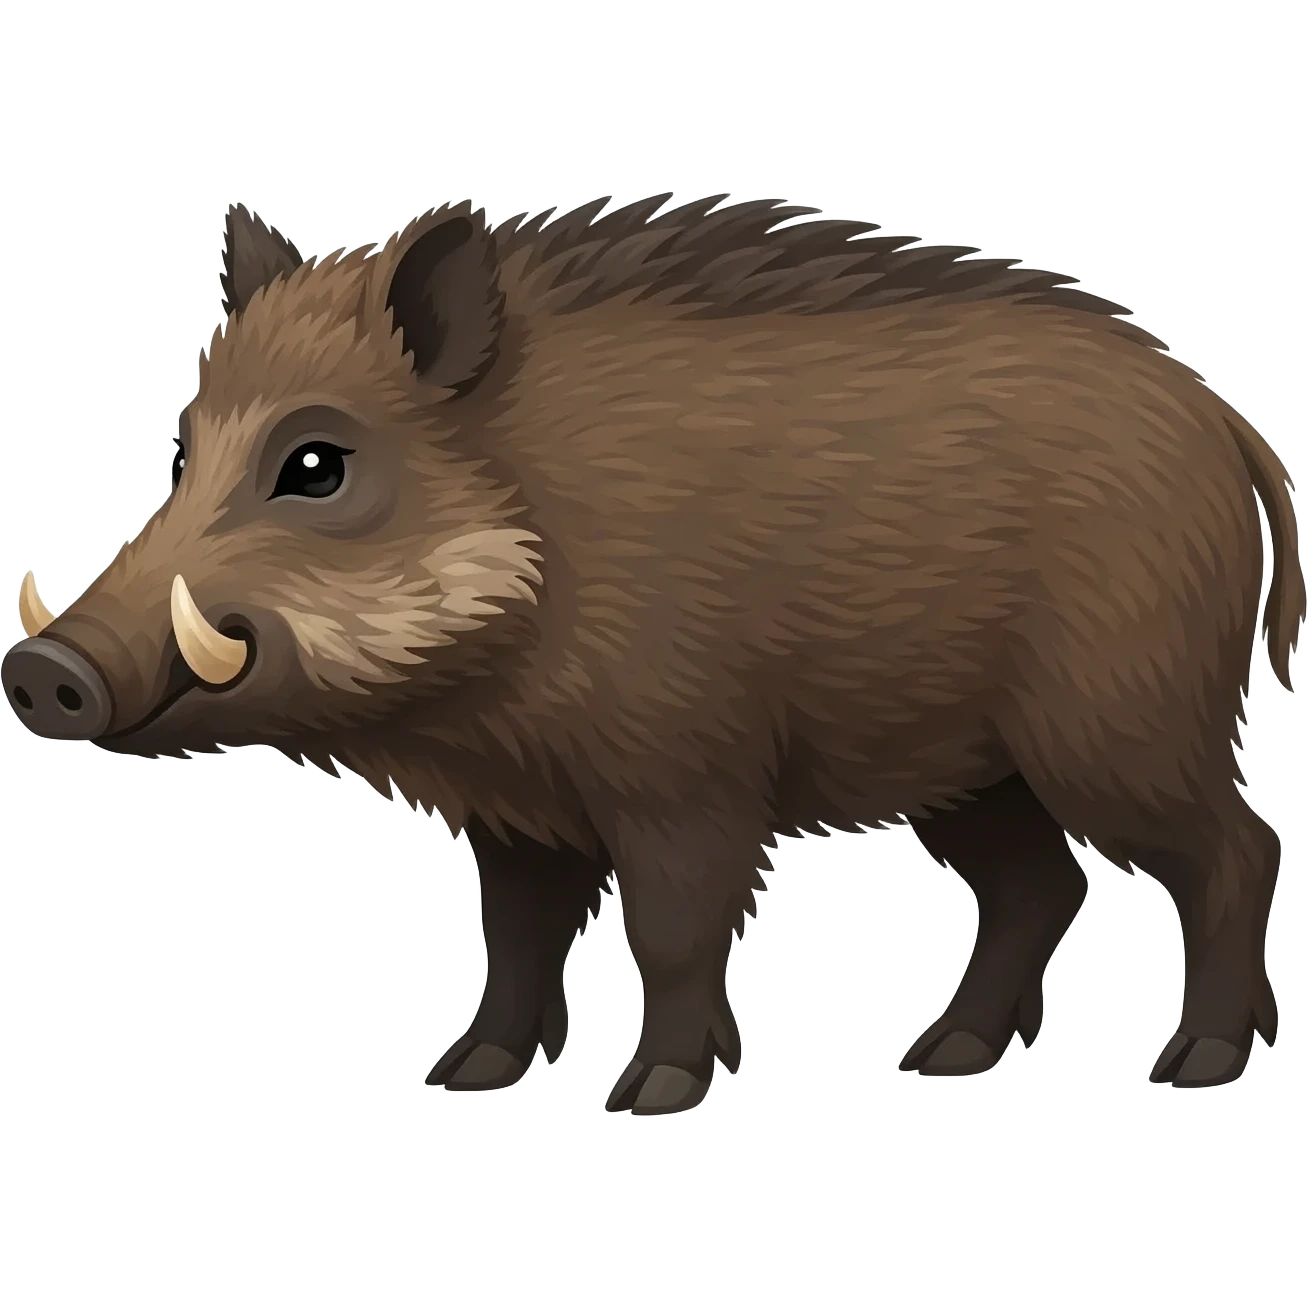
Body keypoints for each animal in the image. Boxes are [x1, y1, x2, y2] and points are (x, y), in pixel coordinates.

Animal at [3, 195, 1301, 1113]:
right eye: (185, 449)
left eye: (315, 463)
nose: (47, 674)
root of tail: (1228, 423)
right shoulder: (520, 811)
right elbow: (515, 936)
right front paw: (465, 1078)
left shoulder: (685, 773)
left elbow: (670, 928)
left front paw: (653, 1096)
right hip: (966, 768)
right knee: (1041, 884)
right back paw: (941, 1059)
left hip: (1120, 723)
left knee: (1237, 850)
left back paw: (1195, 1065)